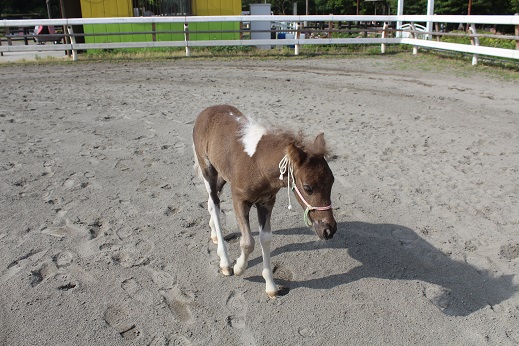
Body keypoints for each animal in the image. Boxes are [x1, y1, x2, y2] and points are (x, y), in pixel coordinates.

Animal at [192, 104, 338, 296]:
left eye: (332, 181)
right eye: (308, 188)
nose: (329, 230)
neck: (258, 165)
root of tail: (206, 110)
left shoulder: (266, 202)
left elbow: (266, 238)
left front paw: (271, 285)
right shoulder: (239, 199)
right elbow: (248, 243)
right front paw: (239, 268)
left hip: (222, 174)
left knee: (210, 202)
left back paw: (215, 235)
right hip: (208, 169)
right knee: (215, 206)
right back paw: (225, 262)